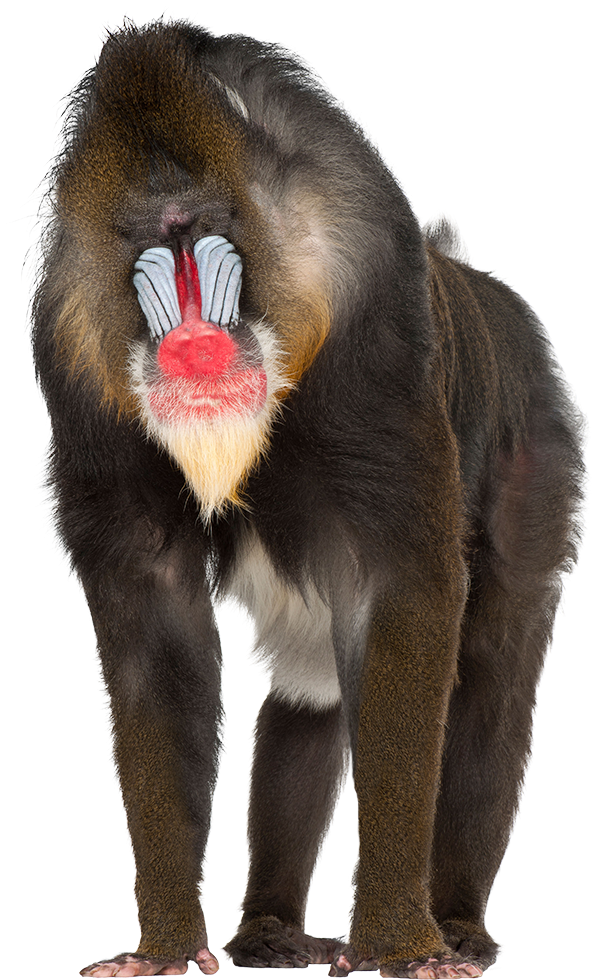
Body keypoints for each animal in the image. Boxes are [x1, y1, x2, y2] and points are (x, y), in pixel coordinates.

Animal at [18, 11, 590, 980]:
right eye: (151, 248)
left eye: (206, 237)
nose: (193, 349)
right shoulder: (78, 366)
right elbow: (155, 638)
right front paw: (164, 947)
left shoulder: (371, 343)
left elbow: (401, 610)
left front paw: (398, 945)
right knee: (309, 698)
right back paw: (270, 931)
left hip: (536, 474)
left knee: (491, 687)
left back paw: (457, 925)